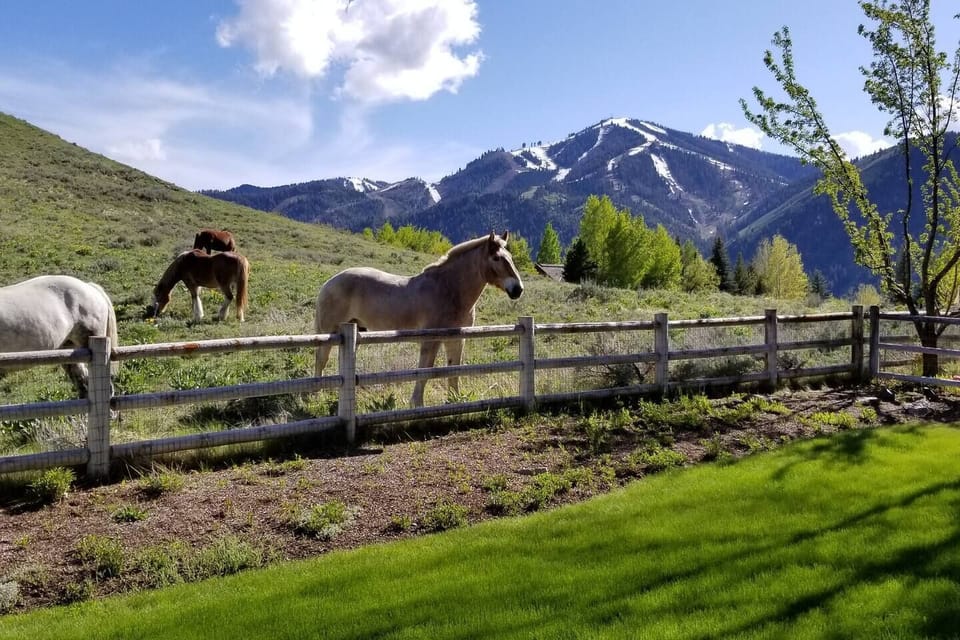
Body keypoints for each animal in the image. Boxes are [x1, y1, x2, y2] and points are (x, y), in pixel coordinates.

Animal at [315, 231, 524, 407]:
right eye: (496, 258)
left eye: (510, 257)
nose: (518, 289)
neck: (448, 289)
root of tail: (329, 283)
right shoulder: (431, 340)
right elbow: (425, 370)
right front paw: (417, 404)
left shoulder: (457, 339)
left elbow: (454, 369)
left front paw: (455, 400)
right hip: (329, 332)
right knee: (321, 360)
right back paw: (316, 395)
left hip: (355, 332)